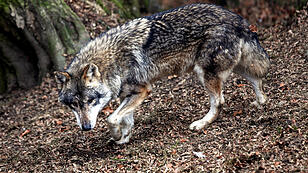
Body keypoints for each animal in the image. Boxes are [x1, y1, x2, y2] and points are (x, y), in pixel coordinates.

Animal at [55, 3, 270, 145]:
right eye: (74, 105)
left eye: (90, 101)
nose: (86, 128)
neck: (112, 61)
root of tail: (240, 20)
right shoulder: (128, 94)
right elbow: (125, 119)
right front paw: (124, 137)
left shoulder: (143, 90)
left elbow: (111, 118)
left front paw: (116, 136)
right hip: (238, 66)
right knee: (258, 81)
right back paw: (259, 103)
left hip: (204, 72)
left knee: (219, 102)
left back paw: (201, 123)